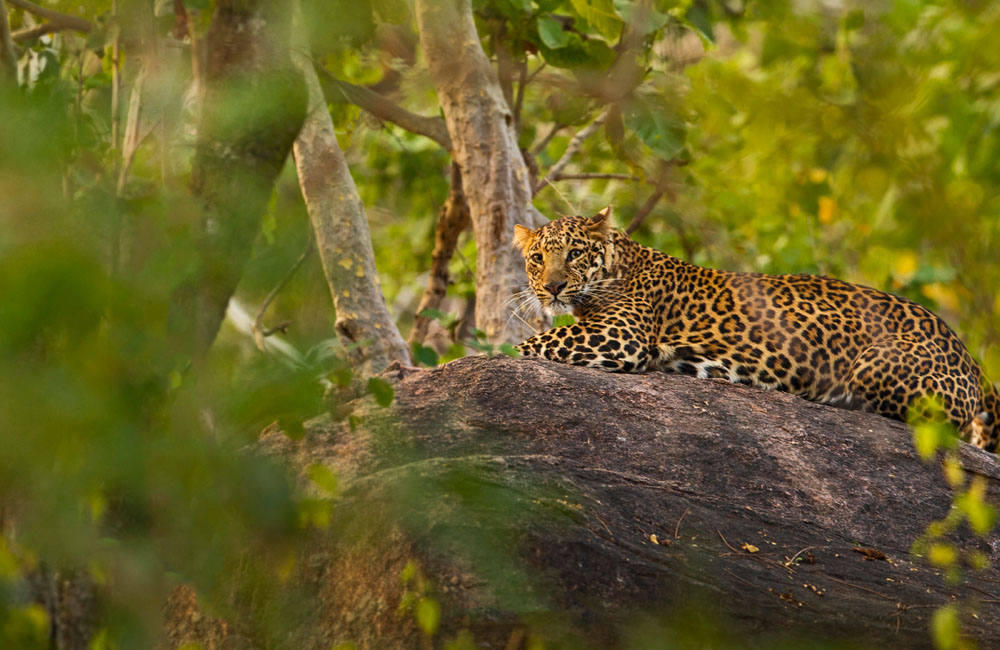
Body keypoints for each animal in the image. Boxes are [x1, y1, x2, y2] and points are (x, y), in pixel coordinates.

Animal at [516, 204, 1000, 450]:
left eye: (575, 253)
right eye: (537, 258)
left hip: (877, 367)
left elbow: (531, 343)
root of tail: (971, 358)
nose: (553, 287)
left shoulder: (619, 335)